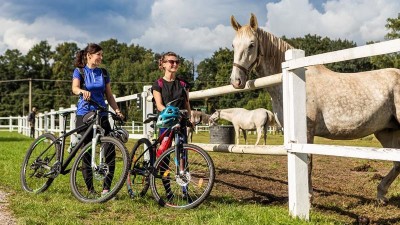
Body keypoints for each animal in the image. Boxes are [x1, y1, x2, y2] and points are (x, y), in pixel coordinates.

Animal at [230, 13, 400, 204]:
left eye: (251, 44)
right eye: (233, 45)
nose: (236, 81)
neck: (293, 82)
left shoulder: (307, 131)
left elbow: (308, 162)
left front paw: (309, 198)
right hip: (386, 131)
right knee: (397, 163)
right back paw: (381, 194)